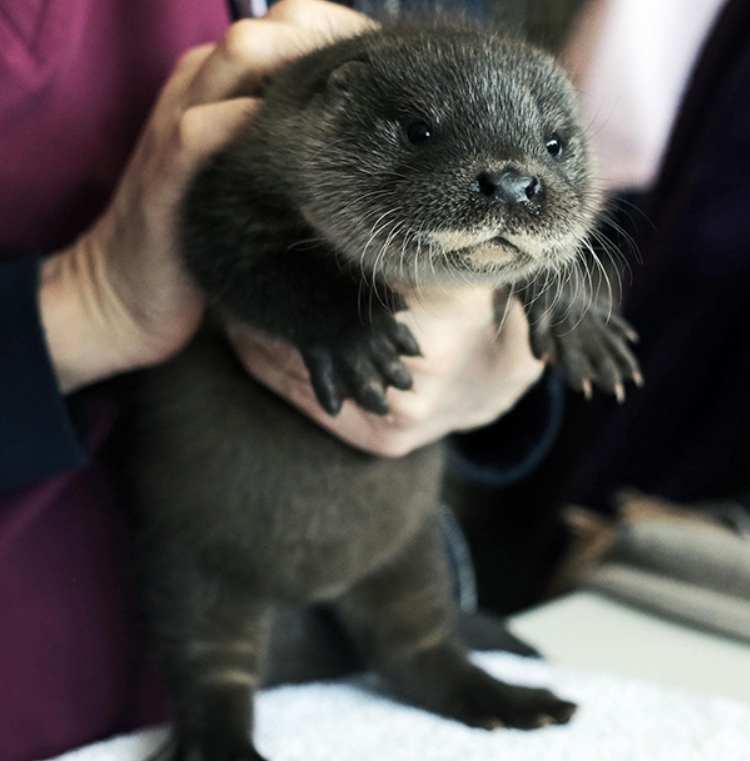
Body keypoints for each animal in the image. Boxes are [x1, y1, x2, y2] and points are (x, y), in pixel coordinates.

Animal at [131, 22, 640, 760]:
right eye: (420, 130)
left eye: (554, 143)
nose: (513, 182)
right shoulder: (218, 193)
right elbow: (252, 263)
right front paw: (354, 338)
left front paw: (583, 322)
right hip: (189, 568)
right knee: (212, 669)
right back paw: (218, 744)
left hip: (413, 556)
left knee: (420, 649)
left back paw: (514, 702)